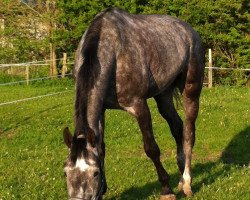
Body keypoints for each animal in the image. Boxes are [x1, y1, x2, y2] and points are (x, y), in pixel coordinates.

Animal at [62, 7, 205, 199]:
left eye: (94, 173)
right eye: (66, 172)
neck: (114, 53)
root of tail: (189, 30)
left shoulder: (139, 106)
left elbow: (151, 148)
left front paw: (166, 190)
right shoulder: (101, 111)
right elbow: (101, 148)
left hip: (191, 90)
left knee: (189, 132)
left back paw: (187, 182)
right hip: (163, 95)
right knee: (177, 127)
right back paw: (181, 178)